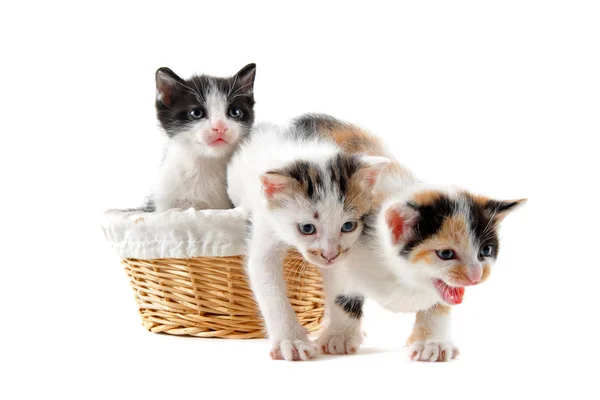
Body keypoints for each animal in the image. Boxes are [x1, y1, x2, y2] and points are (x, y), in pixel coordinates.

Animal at [226, 120, 390, 360]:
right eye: (307, 228)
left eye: (348, 226)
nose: (329, 255)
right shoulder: (266, 220)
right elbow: (267, 279)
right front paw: (291, 341)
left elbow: (343, 281)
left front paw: (339, 335)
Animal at [296, 114, 524, 360]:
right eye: (446, 253)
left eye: (486, 250)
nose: (476, 276)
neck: (402, 276)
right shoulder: (340, 252)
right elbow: (341, 296)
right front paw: (340, 337)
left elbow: (442, 299)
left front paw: (432, 343)